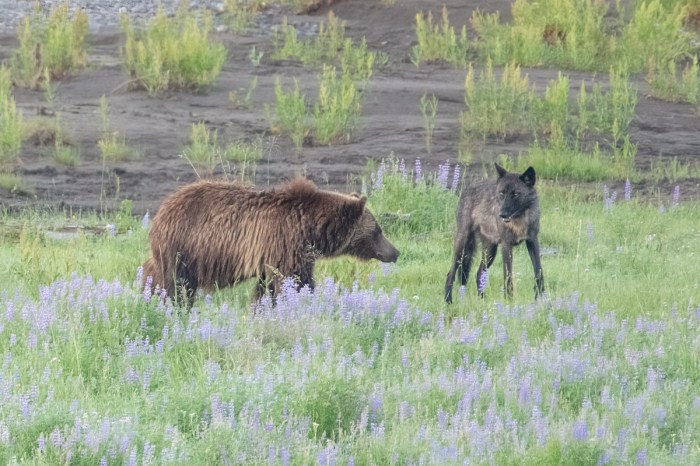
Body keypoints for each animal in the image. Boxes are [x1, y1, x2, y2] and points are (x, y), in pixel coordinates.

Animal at [142, 178, 400, 306]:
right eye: (377, 231)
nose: (395, 252)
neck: (312, 228)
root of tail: (161, 210)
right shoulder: (287, 244)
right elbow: (297, 281)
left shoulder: (274, 256)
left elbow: (268, 288)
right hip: (184, 247)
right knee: (177, 284)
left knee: (156, 272)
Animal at [444, 163, 544, 303]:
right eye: (502, 193)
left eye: (515, 194)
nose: (502, 214)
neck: (519, 220)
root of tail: (468, 189)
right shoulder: (506, 245)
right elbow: (508, 276)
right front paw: (509, 301)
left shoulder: (532, 241)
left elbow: (538, 271)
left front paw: (541, 298)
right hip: (462, 246)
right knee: (451, 273)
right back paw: (448, 302)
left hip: (490, 252)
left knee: (478, 274)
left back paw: (482, 301)